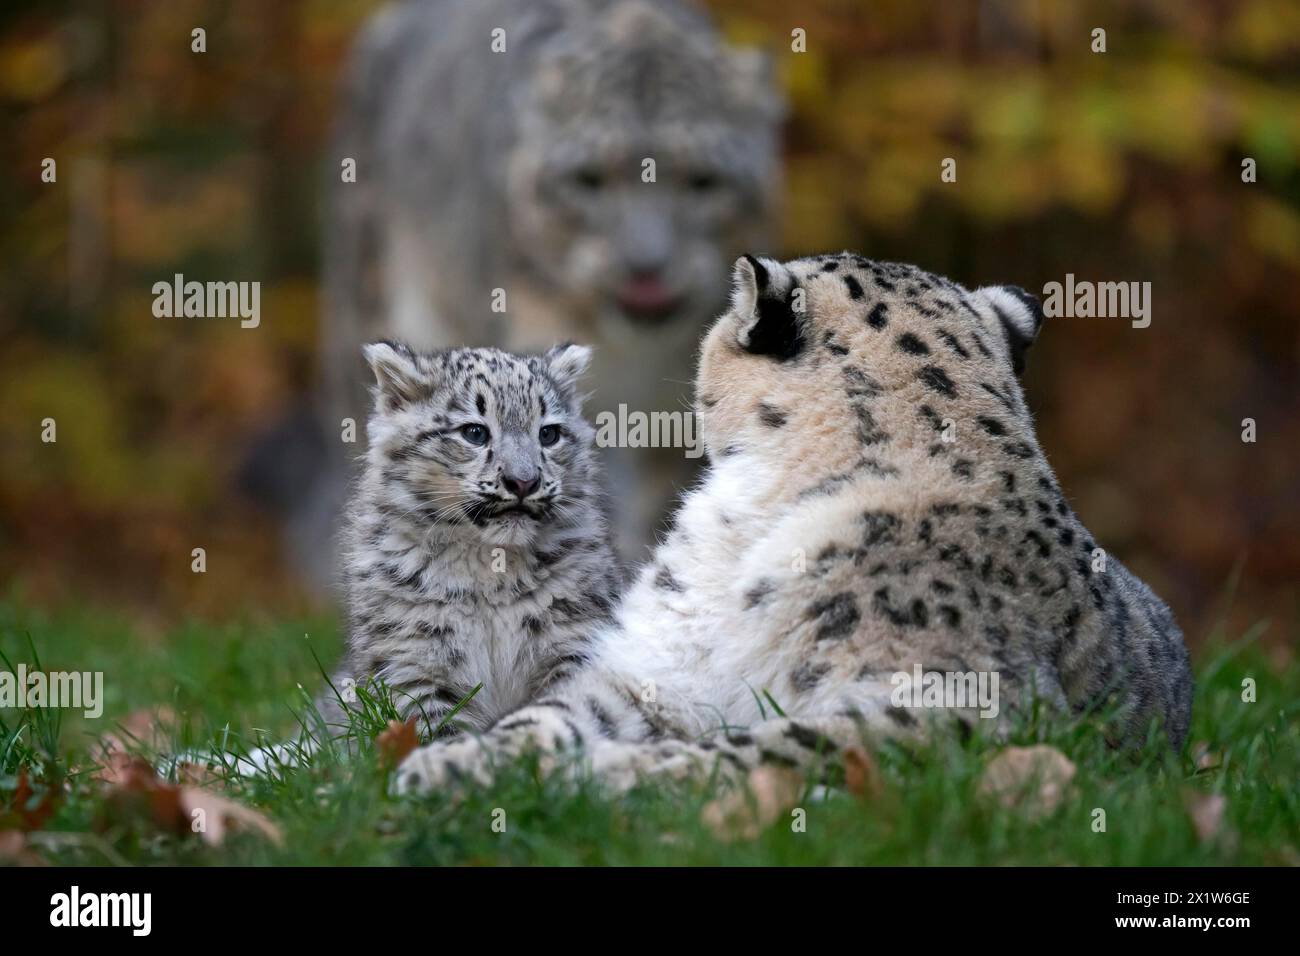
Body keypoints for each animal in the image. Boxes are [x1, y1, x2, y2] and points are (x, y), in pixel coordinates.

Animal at [397, 252, 1196, 790]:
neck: (744, 530)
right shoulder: (662, 669)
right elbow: (552, 714)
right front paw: (449, 764)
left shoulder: (946, 704)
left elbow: (771, 745)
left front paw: (612, 775)